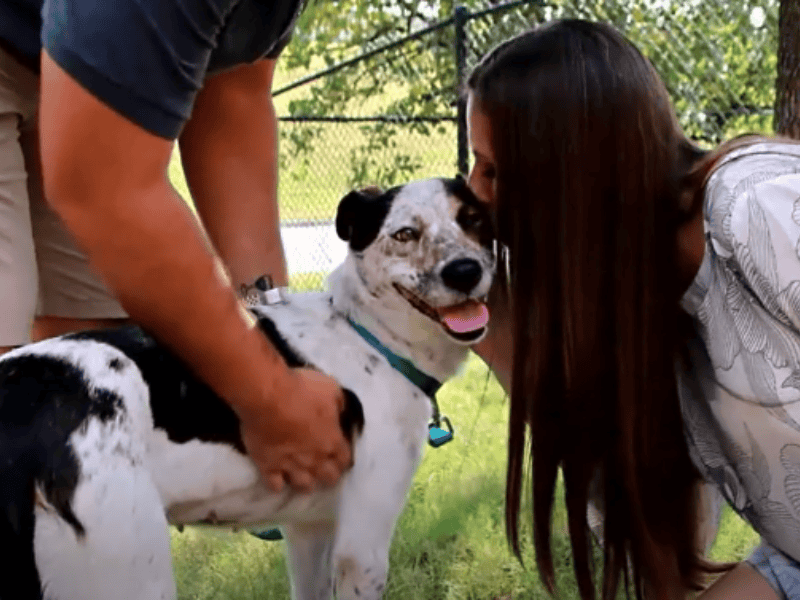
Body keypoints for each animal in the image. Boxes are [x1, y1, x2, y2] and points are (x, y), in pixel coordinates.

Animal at [0, 178, 494, 600]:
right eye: (405, 233)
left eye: (473, 219)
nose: (464, 271)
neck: (365, 334)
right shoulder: (362, 546)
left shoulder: (310, 530)